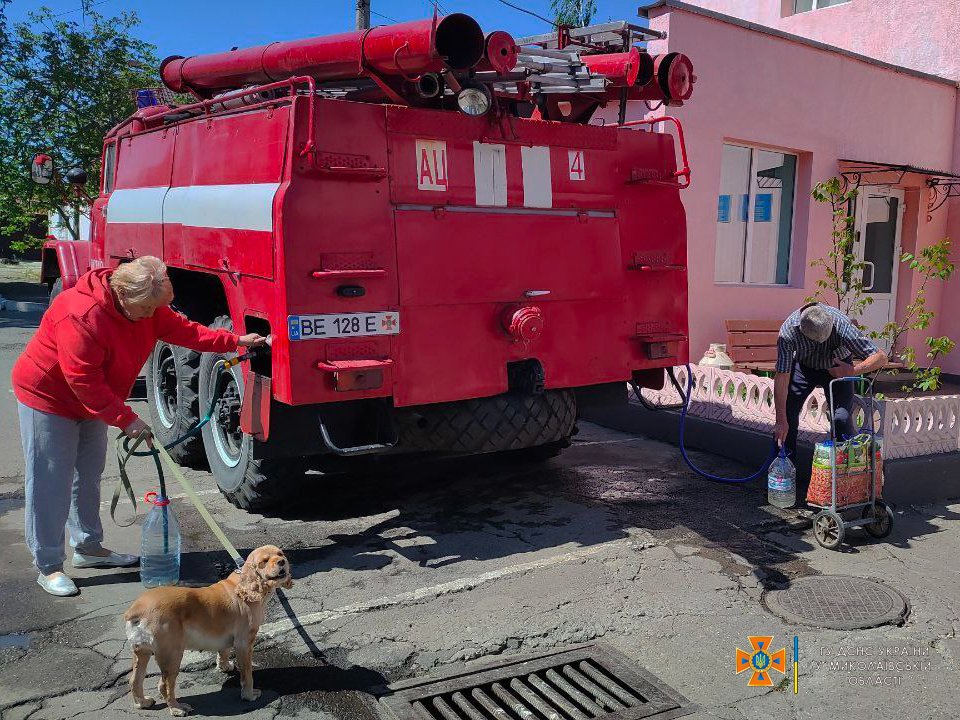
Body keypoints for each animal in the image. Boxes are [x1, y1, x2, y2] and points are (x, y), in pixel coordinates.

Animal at [124, 544, 290, 716]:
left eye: (280, 554)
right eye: (264, 560)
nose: (282, 562)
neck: (246, 587)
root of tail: (137, 609)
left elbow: (223, 651)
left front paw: (224, 666)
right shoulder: (244, 643)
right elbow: (247, 674)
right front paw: (249, 695)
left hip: (142, 652)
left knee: (134, 680)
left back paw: (142, 702)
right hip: (172, 655)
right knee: (164, 685)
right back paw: (177, 708)